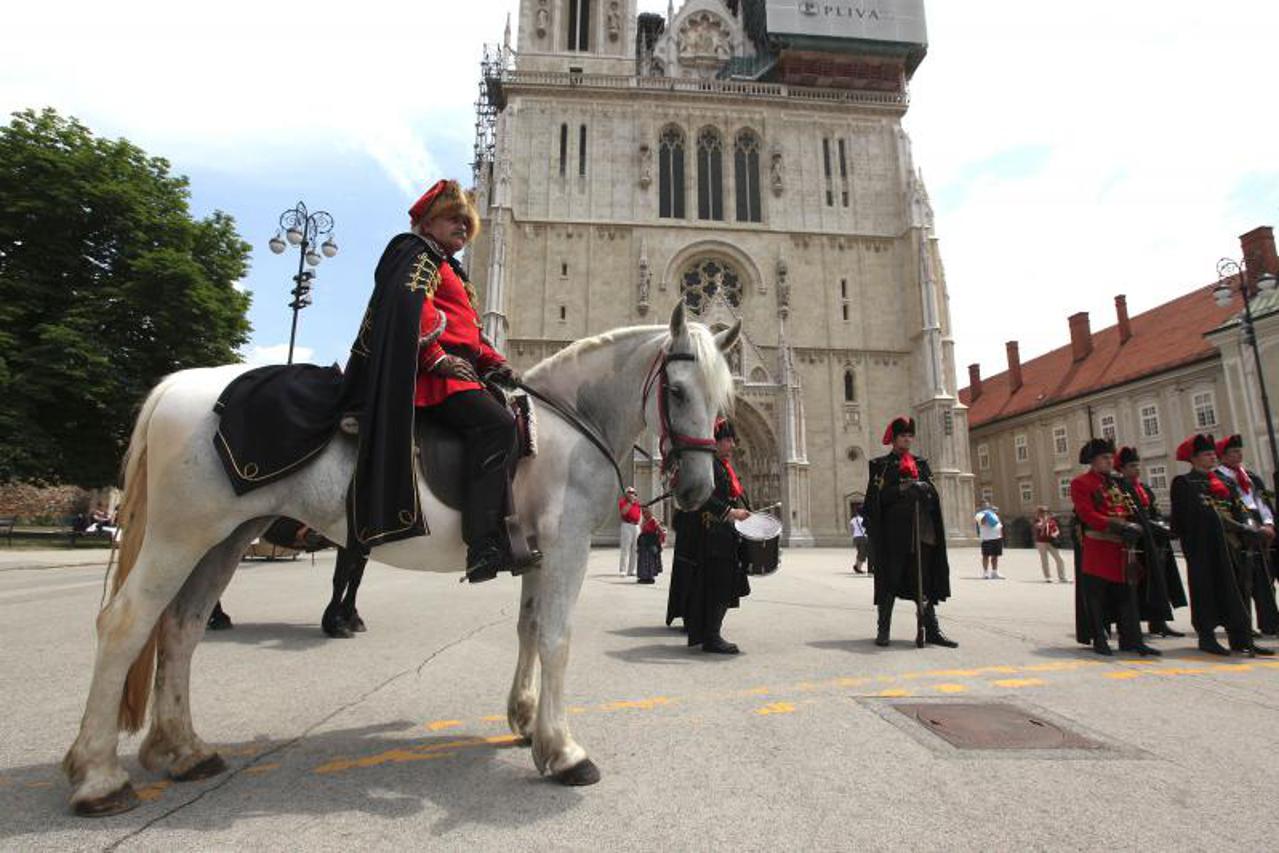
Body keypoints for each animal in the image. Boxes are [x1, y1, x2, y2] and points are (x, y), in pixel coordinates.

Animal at [62, 303, 741, 818]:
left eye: (723, 402)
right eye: (676, 390)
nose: (698, 492)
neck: (568, 426)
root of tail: (179, 384)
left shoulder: (538, 554)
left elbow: (527, 630)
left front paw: (527, 725)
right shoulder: (568, 546)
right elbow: (556, 639)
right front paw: (565, 752)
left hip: (226, 537)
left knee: (181, 628)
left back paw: (183, 751)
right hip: (181, 534)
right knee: (126, 624)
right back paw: (99, 778)